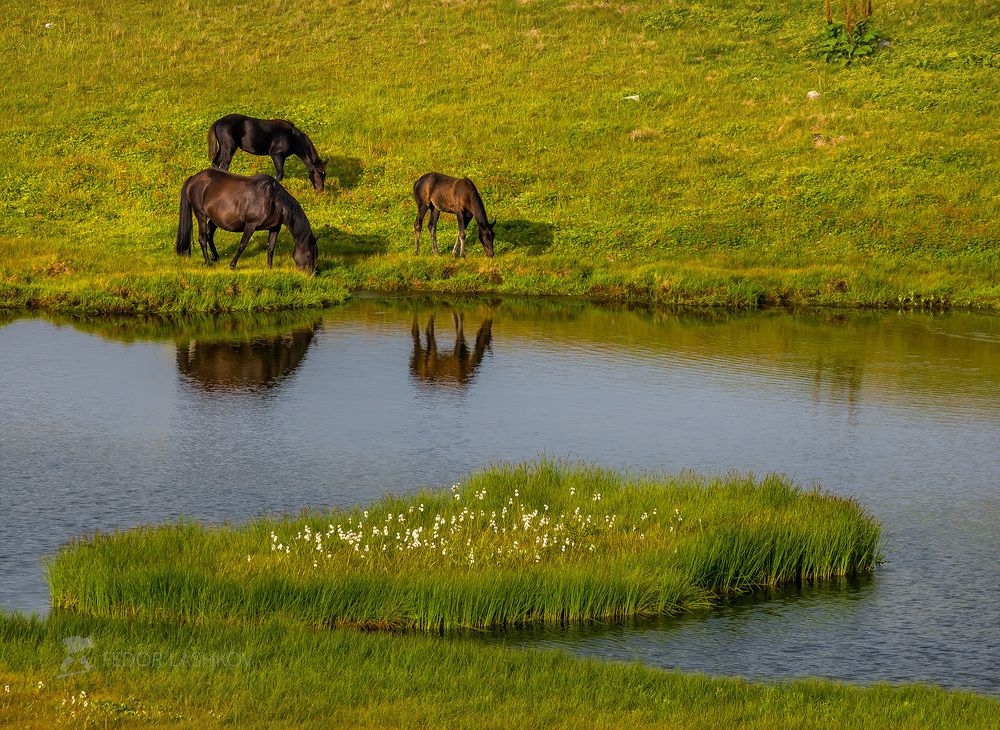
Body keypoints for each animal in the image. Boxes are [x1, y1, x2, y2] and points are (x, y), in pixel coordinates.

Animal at [175, 168, 318, 273]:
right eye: (309, 254)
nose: (310, 274)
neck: (274, 200)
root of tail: (194, 178)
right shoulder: (251, 225)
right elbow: (242, 245)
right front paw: (232, 265)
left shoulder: (274, 227)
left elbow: (271, 248)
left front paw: (269, 267)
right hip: (201, 214)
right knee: (202, 238)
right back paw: (208, 262)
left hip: (214, 219)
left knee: (209, 236)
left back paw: (216, 258)